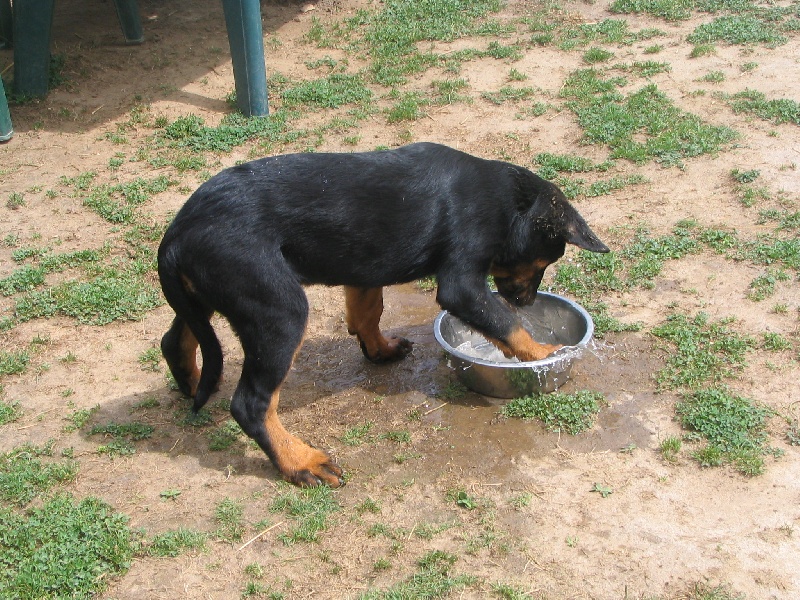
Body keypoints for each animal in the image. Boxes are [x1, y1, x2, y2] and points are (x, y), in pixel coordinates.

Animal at [158, 142, 608, 488]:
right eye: (546, 261)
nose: (527, 302)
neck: (505, 201)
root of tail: (175, 236)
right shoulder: (462, 283)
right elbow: (504, 324)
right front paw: (543, 354)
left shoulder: (364, 266)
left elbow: (367, 310)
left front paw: (379, 350)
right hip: (278, 309)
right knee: (252, 404)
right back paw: (300, 463)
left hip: (209, 294)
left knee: (176, 337)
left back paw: (191, 380)